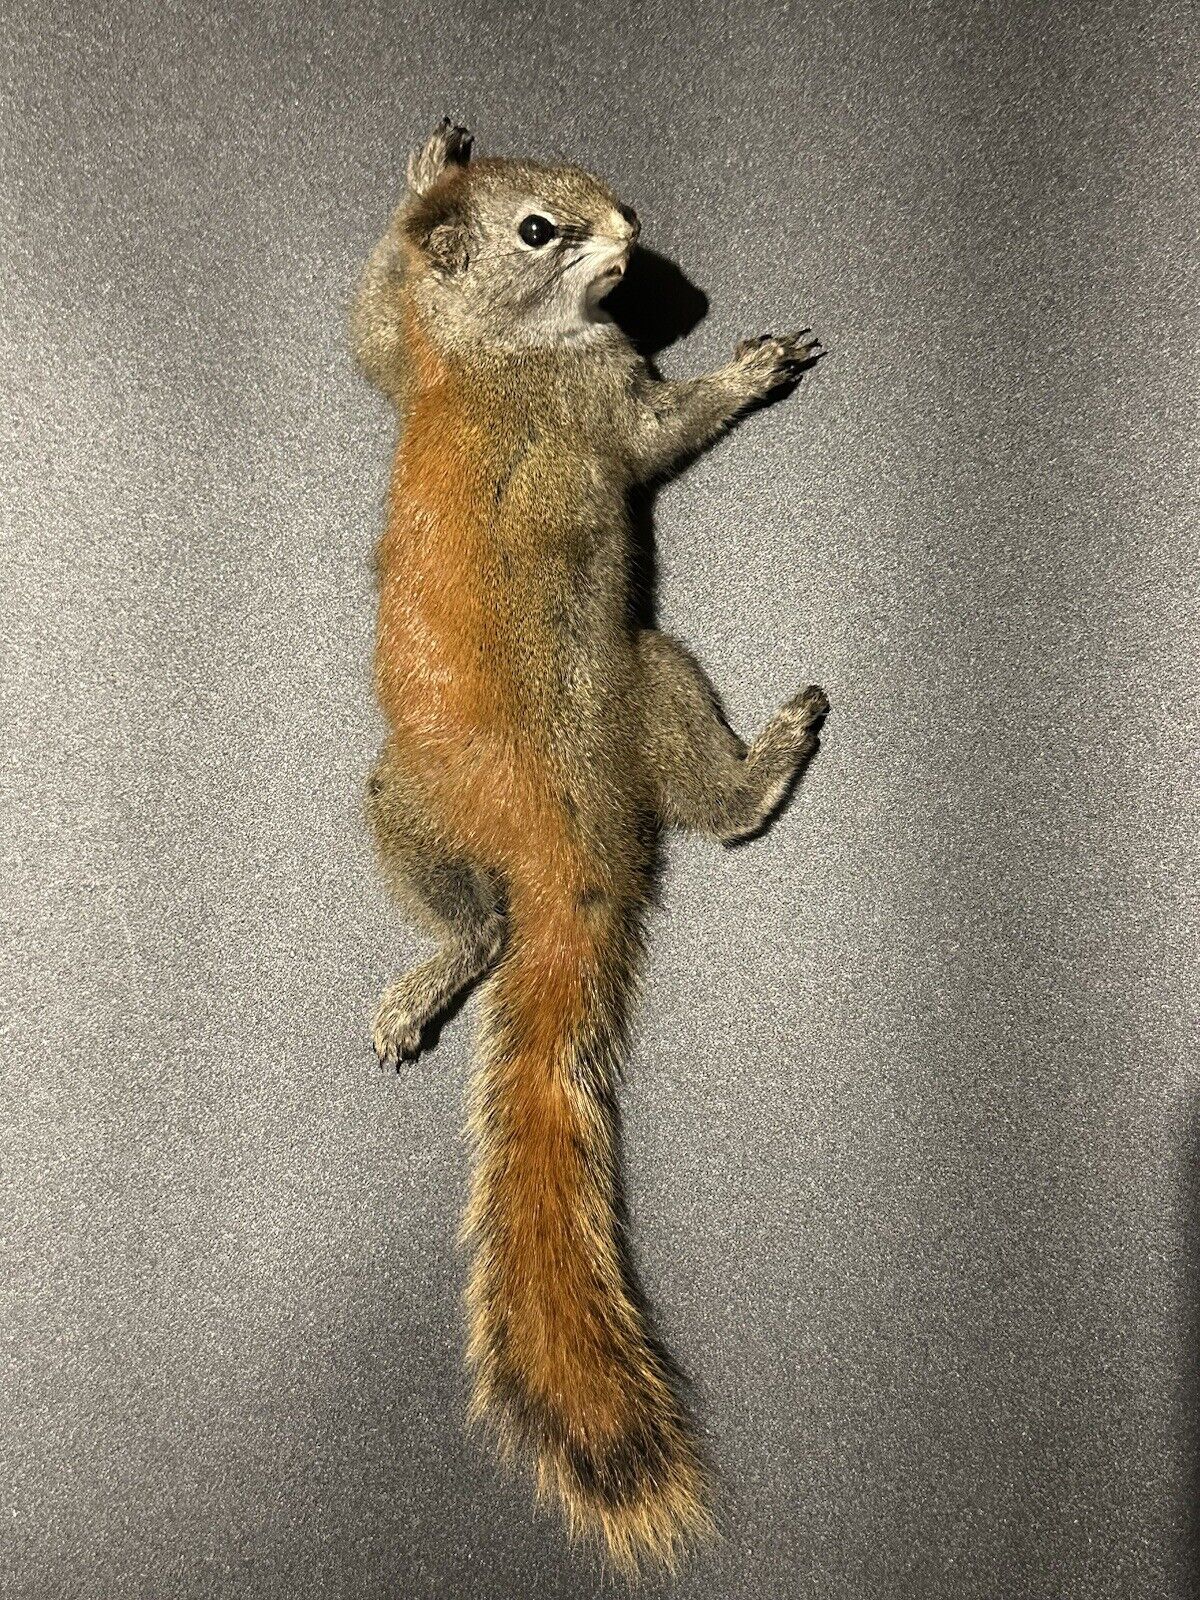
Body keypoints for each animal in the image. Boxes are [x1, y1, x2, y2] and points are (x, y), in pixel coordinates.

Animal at [351, 119, 828, 1572]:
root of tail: (556, 841)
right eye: (539, 231)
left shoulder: (402, 352)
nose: (630, 225)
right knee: (701, 816)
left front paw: (420, 166)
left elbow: (362, 319)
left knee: (479, 919)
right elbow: (661, 432)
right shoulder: (599, 403)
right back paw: (767, 759)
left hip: (401, 805)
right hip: (647, 684)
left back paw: (425, 983)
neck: (485, 352)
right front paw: (747, 369)